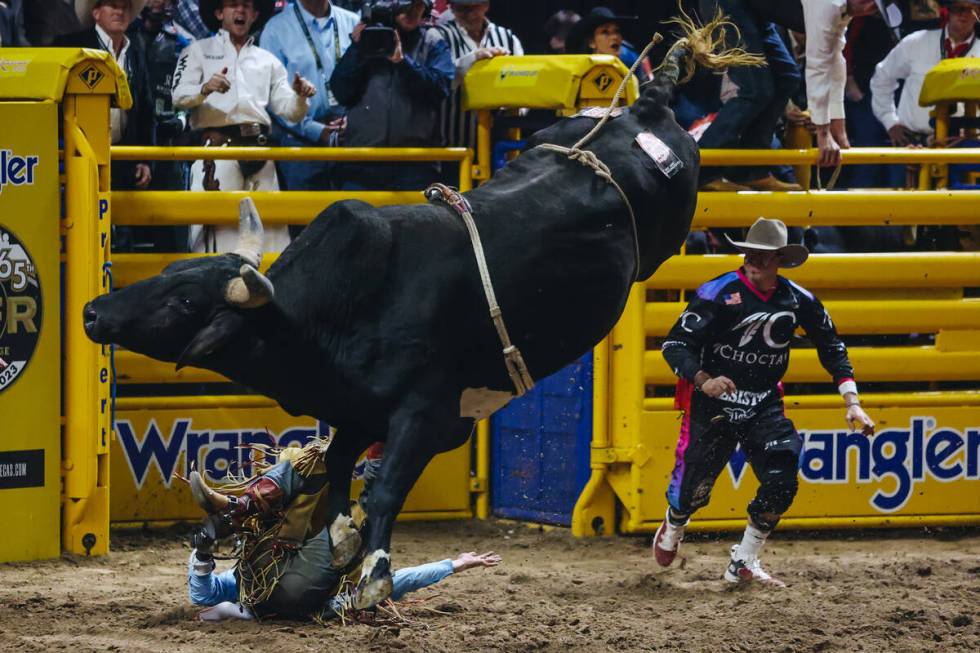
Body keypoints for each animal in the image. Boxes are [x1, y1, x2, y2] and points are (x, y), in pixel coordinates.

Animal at [82, 61, 696, 608]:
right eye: (170, 271)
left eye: (185, 300)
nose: (91, 311)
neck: (330, 314)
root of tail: (645, 105)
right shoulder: (355, 413)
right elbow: (335, 480)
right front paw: (337, 539)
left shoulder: (422, 415)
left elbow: (383, 492)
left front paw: (374, 574)